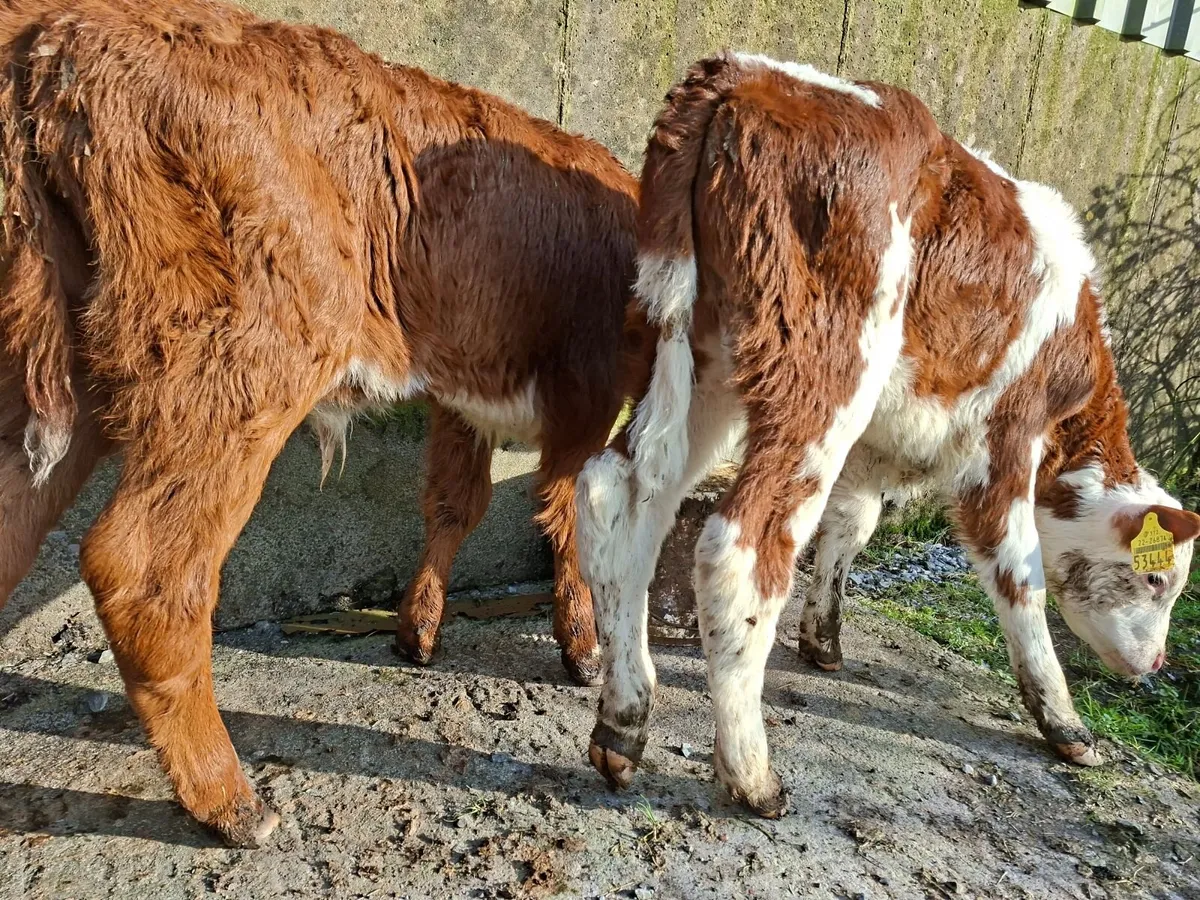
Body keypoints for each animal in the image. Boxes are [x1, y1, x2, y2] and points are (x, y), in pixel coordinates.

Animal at [0, 0, 653, 845]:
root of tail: (64, 29)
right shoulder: (586, 393)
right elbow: (568, 514)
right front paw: (583, 647)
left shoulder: (461, 398)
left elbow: (456, 503)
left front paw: (417, 630)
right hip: (239, 368)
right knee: (145, 567)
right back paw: (230, 801)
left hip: (53, 385)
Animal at [576, 52, 1200, 818]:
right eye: (1157, 581)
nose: (1157, 664)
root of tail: (742, 75)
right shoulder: (1005, 442)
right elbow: (1020, 574)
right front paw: (1065, 722)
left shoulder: (875, 446)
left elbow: (851, 527)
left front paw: (823, 639)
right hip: (822, 379)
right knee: (740, 548)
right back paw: (751, 774)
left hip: (700, 358)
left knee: (618, 493)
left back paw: (624, 721)